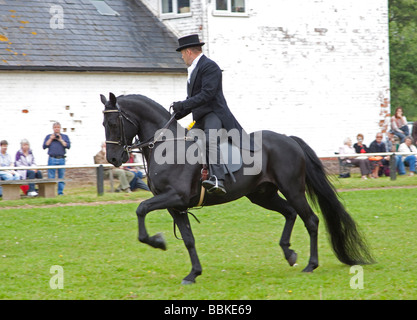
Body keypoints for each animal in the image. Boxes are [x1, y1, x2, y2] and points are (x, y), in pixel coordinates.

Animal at [101, 92, 374, 284]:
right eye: (104, 123)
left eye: (113, 123)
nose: (113, 158)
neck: (167, 147)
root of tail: (287, 139)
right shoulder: (176, 206)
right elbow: (188, 239)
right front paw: (193, 273)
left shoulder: (174, 197)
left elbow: (141, 209)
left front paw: (158, 242)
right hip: (262, 195)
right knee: (290, 213)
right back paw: (289, 254)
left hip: (293, 189)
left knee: (311, 220)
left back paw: (310, 264)